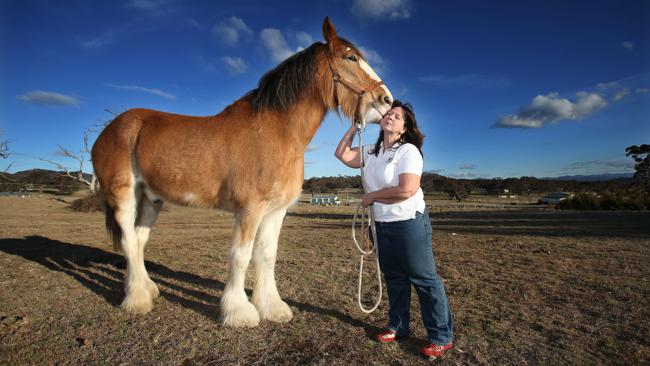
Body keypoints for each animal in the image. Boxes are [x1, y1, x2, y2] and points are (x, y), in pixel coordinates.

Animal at [91, 17, 392, 328]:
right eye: (350, 57)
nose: (386, 100)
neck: (276, 132)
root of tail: (109, 130)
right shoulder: (250, 209)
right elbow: (241, 255)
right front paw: (238, 312)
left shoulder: (275, 211)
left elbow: (266, 255)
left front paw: (272, 307)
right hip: (122, 196)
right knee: (128, 240)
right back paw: (137, 299)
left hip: (151, 198)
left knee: (139, 240)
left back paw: (147, 288)